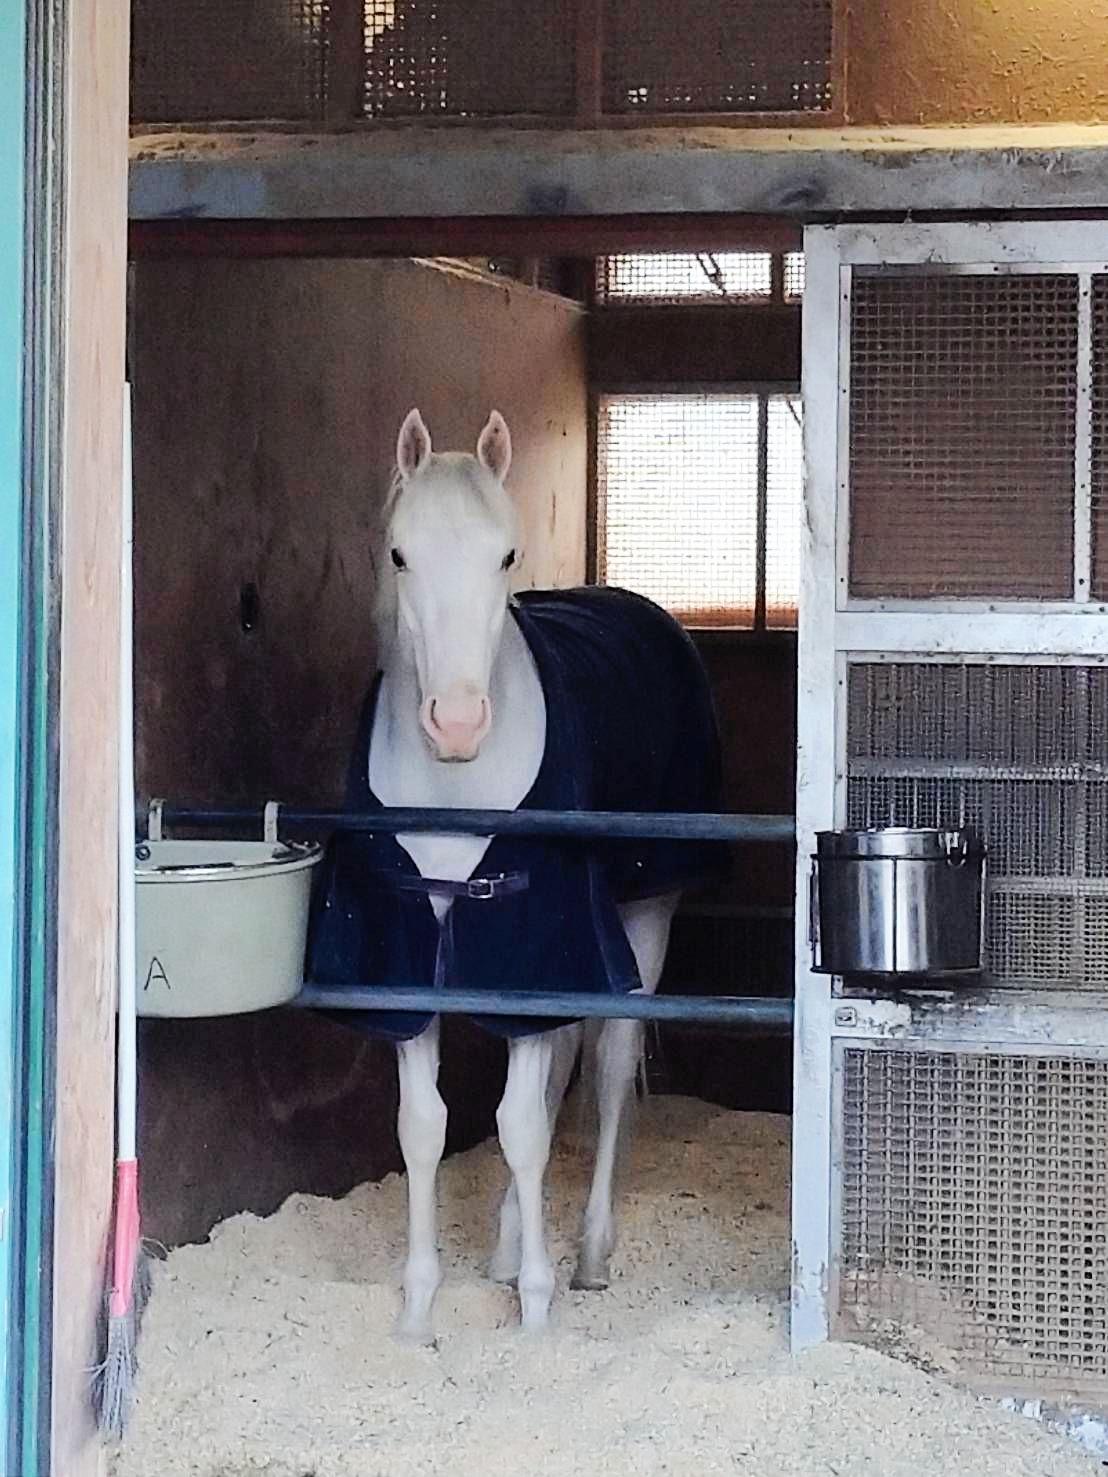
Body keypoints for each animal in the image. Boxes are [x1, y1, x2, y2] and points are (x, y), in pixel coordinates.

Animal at [370, 410, 685, 1347]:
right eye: (400, 554)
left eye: (506, 554)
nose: (458, 723)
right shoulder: (410, 959)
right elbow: (425, 1127)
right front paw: (418, 1309)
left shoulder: (540, 943)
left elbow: (523, 1124)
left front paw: (538, 1310)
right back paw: (510, 1245)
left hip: (644, 911)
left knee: (607, 1070)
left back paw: (588, 1254)